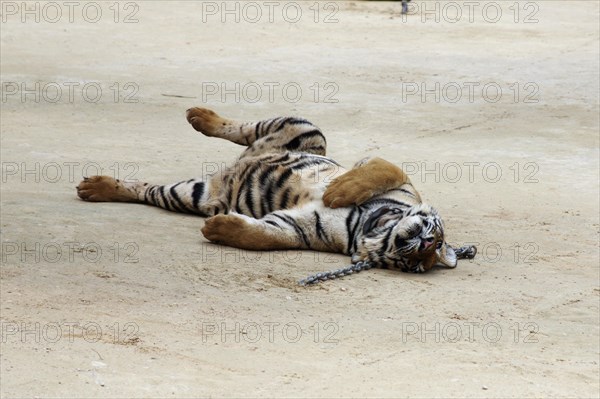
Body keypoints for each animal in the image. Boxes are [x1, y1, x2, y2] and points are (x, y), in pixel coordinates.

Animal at [77, 108, 474, 280]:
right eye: (437, 239)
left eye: (418, 264)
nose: (425, 245)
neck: (370, 227)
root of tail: (236, 164)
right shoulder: (396, 179)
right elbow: (379, 170)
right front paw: (337, 192)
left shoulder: (297, 227)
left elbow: (264, 236)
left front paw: (218, 229)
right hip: (306, 128)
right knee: (240, 127)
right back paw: (199, 115)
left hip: (192, 194)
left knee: (145, 189)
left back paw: (95, 187)